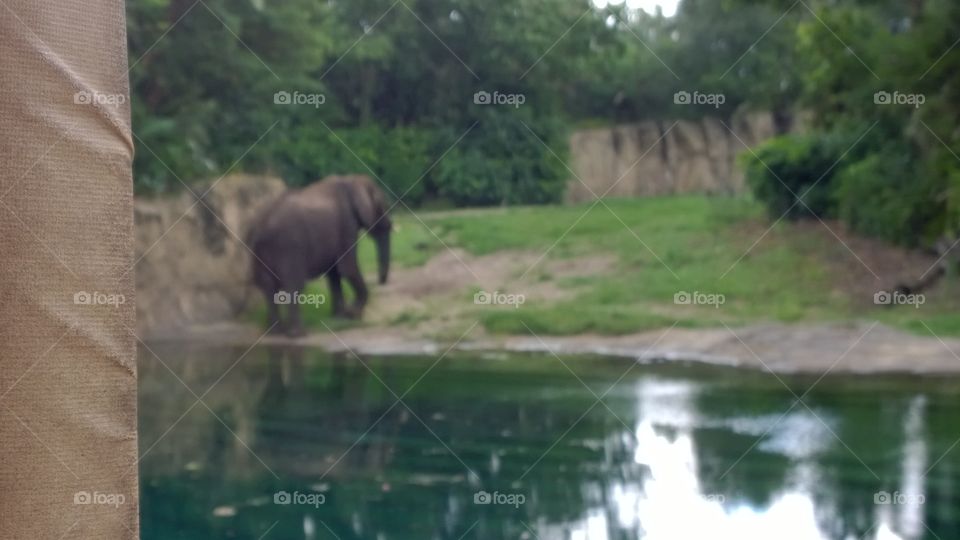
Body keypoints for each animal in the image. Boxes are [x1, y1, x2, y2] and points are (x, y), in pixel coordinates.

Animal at [247, 174, 392, 336]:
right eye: (383, 207)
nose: (381, 281)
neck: (351, 180)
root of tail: (259, 227)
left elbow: (334, 273)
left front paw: (340, 317)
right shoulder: (347, 223)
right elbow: (347, 268)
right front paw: (352, 315)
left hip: (258, 252)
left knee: (267, 286)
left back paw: (276, 332)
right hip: (289, 247)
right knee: (293, 284)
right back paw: (297, 333)